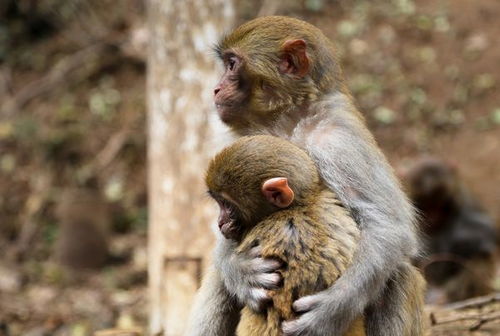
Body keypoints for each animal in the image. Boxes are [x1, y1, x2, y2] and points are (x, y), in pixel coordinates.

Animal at [189, 16, 420, 336]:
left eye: (232, 65)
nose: (216, 89)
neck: (289, 119)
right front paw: (239, 269)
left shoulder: (338, 140)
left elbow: (389, 227)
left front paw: (329, 312)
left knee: (399, 272)